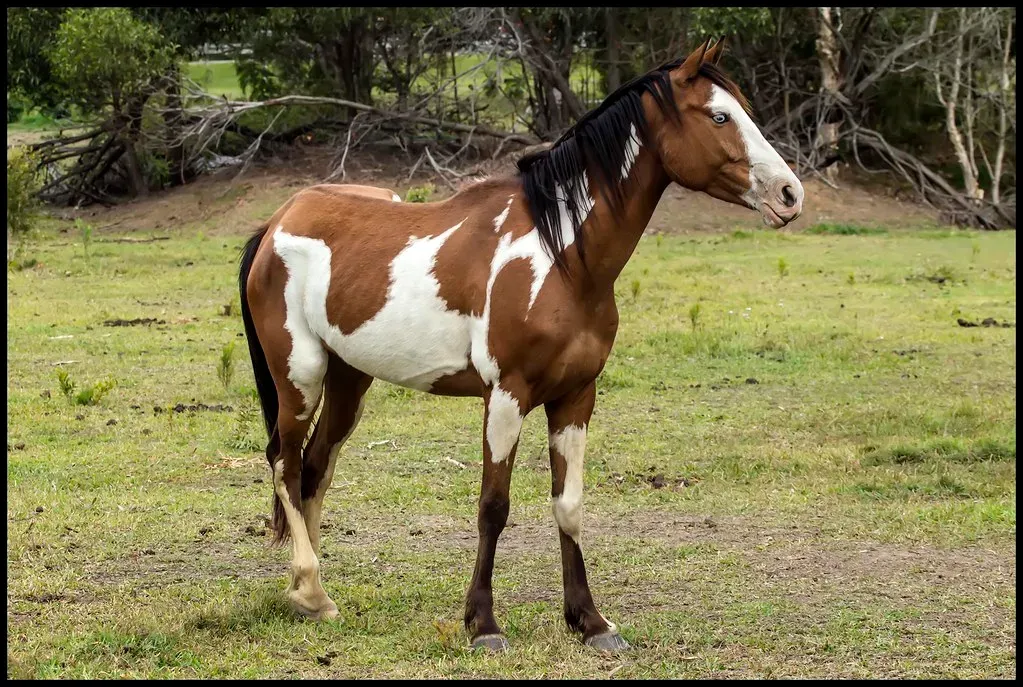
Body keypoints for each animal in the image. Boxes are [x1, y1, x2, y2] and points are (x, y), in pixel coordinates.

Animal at [237, 38, 804, 653]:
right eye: (719, 116)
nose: (789, 194)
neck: (561, 257)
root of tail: (275, 224)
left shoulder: (576, 397)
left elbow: (569, 505)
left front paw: (590, 621)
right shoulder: (506, 397)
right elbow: (494, 506)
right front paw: (483, 624)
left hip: (348, 380)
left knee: (315, 467)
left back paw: (310, 595)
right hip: (300, 376)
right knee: (285, 463)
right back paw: (310, 587)